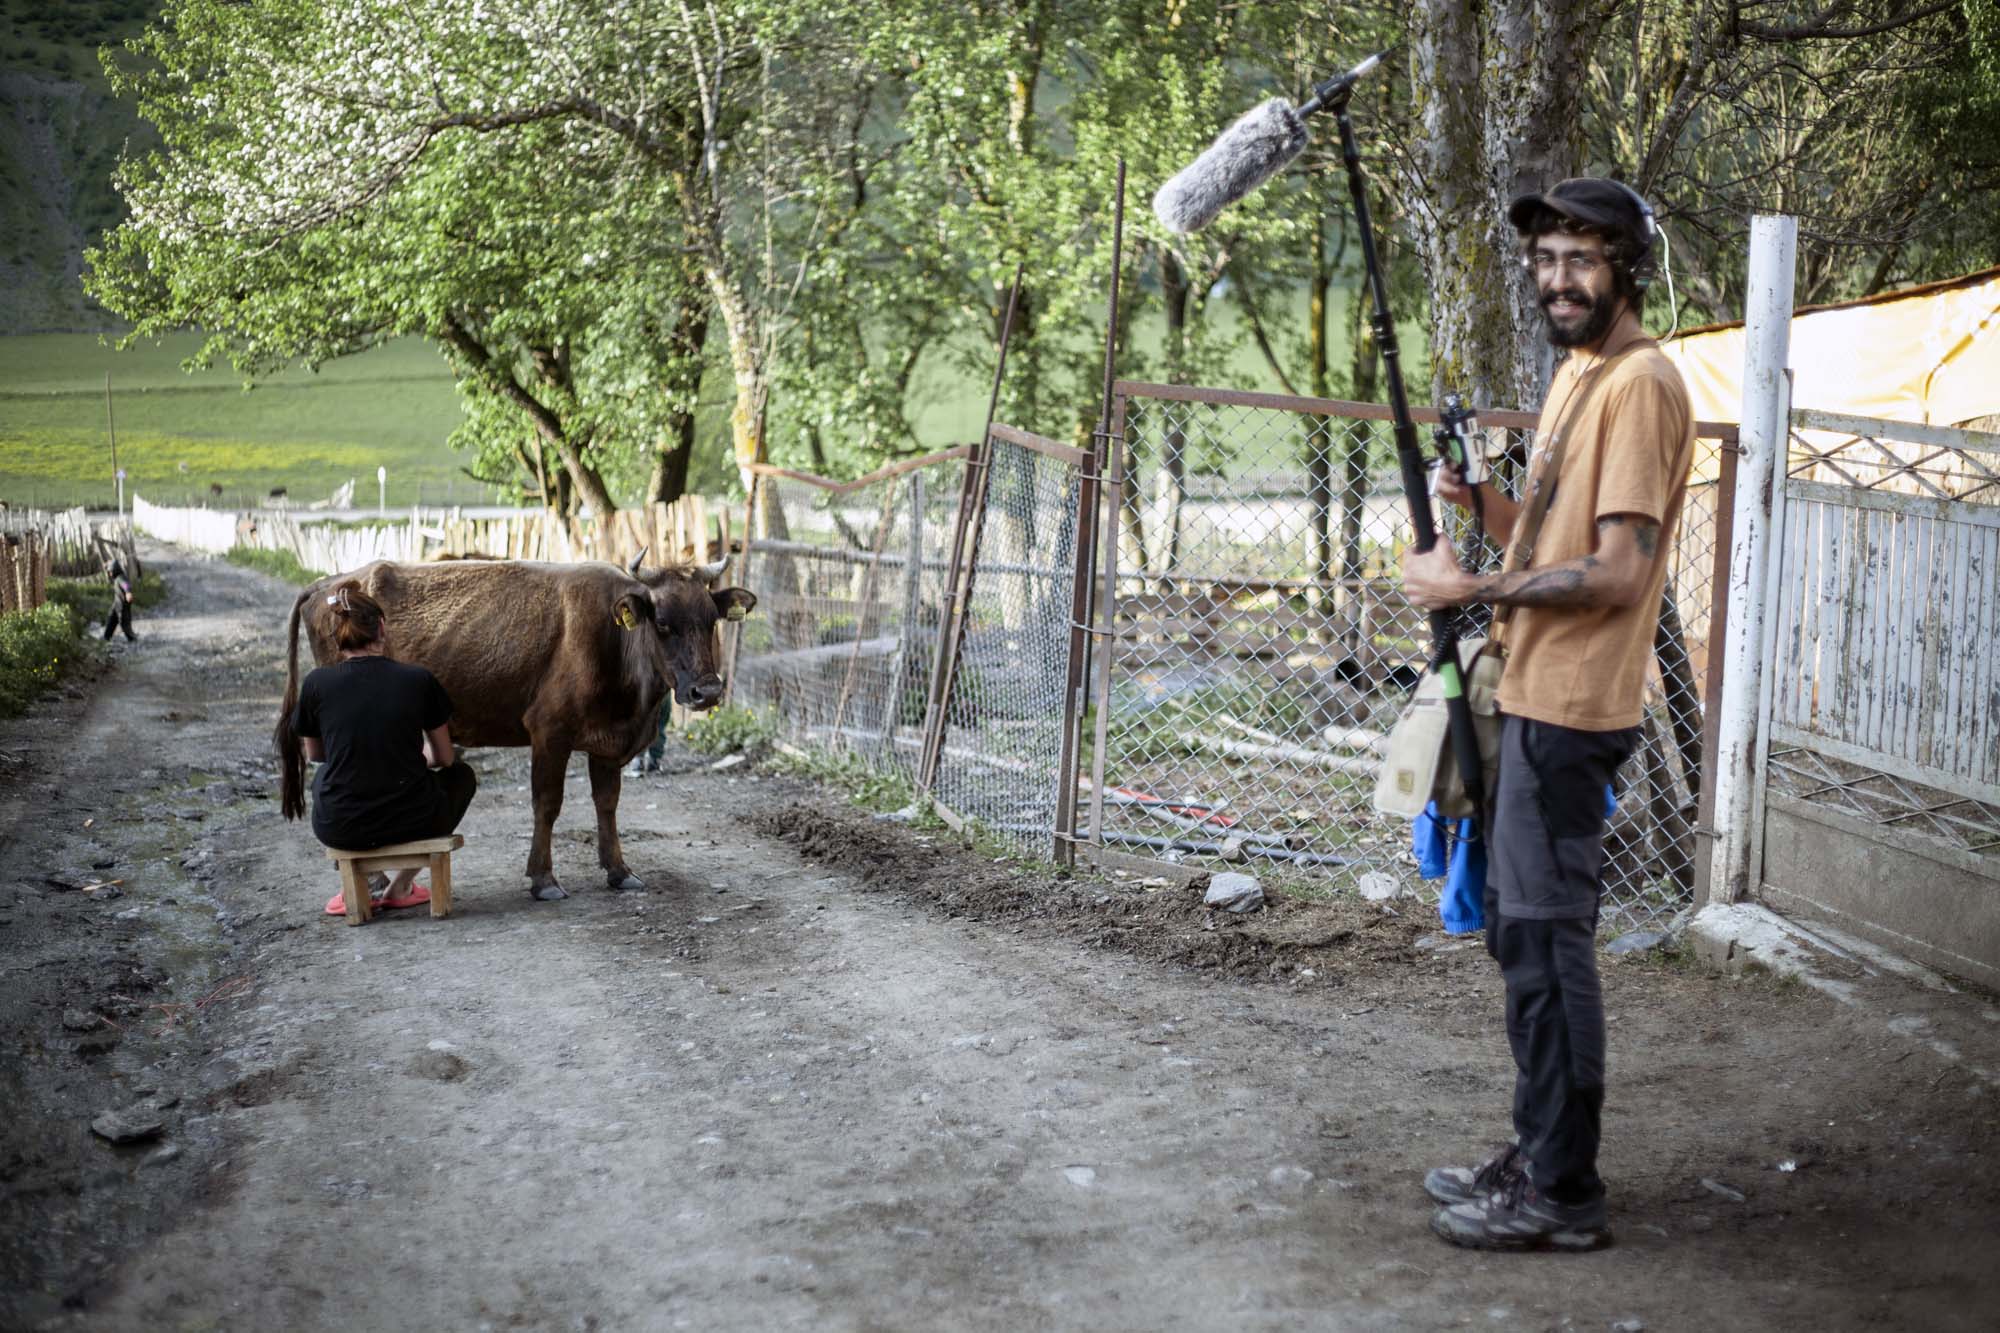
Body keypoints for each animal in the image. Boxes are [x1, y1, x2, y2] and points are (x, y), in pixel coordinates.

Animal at [275, 552, 756, 900]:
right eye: (663, 624)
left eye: (711, 620)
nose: (708, 691)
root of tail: (331, 583)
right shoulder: (549, 732)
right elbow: (547, 805)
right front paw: (543, 879)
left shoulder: (605, 742)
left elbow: (607, 804)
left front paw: (619, 871)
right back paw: (372, 880)